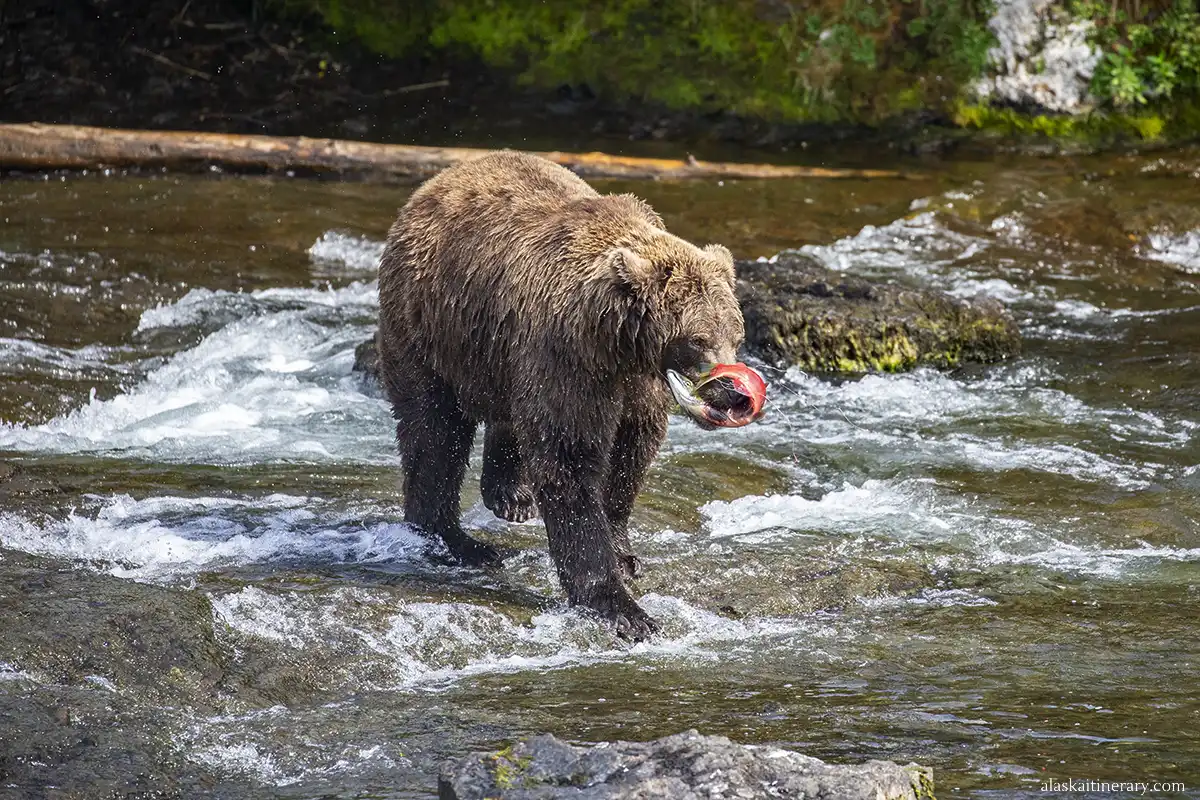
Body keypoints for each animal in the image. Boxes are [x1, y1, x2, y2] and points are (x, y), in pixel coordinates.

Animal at [376, 151, 763, 639]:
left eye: (736, 334)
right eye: (698, 339)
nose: (733, 393)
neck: (621, 343)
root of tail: (436, 183)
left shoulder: (636, 383)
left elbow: (630, 452)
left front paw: (624, 554)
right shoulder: (567, 356)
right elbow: (569, 457)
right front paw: (622, 608)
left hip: (496, 346)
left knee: (507, 413)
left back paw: (512, 497)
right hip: (431, 327)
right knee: (434, 431)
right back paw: (457, 541)